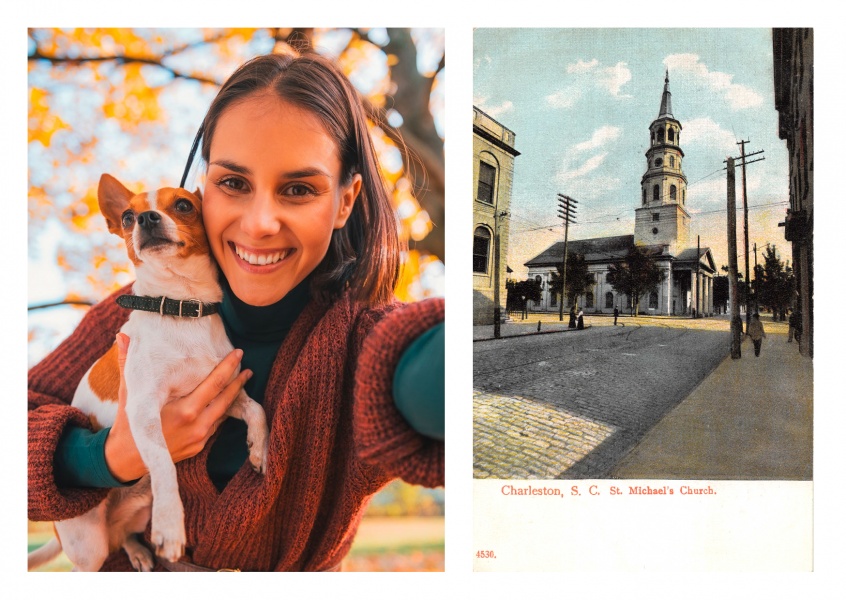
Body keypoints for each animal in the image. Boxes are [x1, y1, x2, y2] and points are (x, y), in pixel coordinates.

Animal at [29, 175, 268, 572]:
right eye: (127, 217)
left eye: (184, 205)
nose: (145, 219)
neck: (181, 307)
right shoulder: (144, 412)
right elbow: (164, 466)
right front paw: (171, 528)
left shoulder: (225, 394)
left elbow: (257, 409)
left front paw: (260, 449)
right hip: (89, 546)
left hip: (137, 510)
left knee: (124, 534)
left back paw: (139, 551)